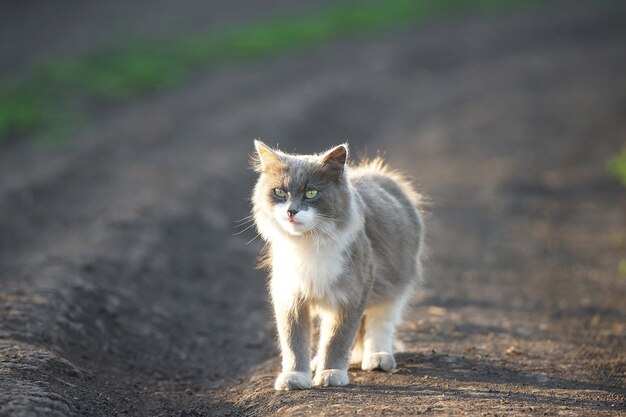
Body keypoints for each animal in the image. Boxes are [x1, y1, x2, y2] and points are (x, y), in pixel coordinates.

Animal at [250, 141, 424, 390]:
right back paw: (316, 362)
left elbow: (337, 339)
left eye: (311, 192)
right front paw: (296, 377)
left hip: (394, 287)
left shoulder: (351, 295)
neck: (309, 244)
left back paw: (378, 358)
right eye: (280, 192)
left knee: (380, 324)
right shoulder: (290, 296)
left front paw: (330, 373)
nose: (291, 211)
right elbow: (294, 341)